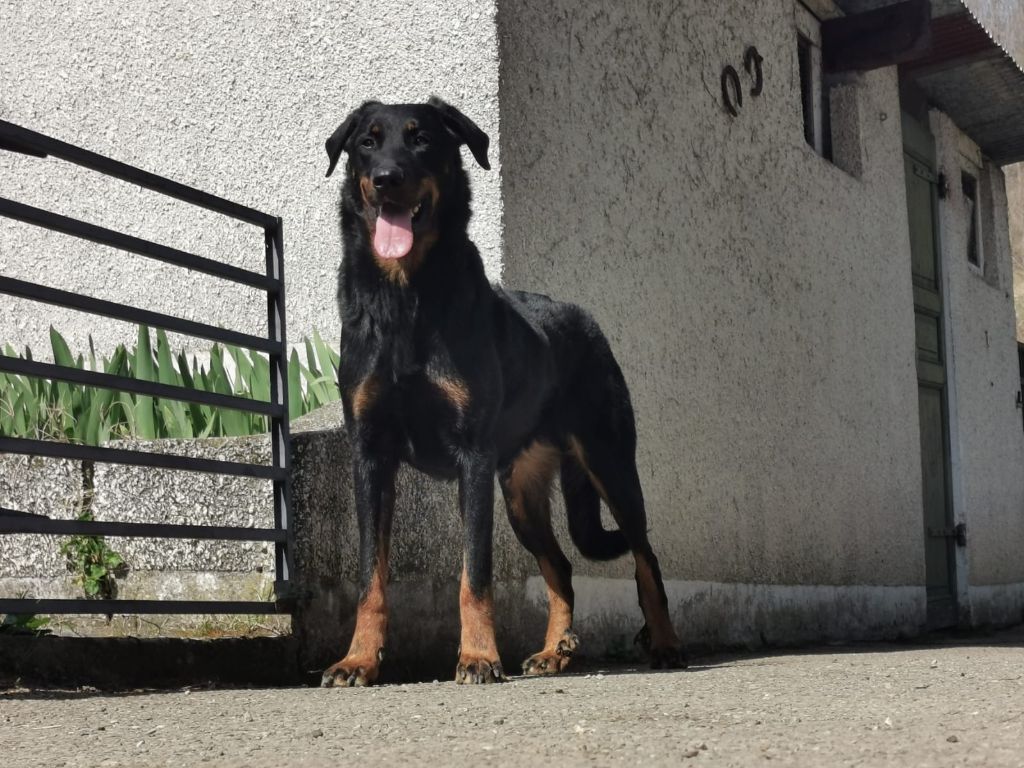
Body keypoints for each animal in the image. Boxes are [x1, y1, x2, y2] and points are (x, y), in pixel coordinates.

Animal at [323, 99, 684, 688]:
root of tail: (585, 320)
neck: (405, 297)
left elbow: (475, 575)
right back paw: (555, 651)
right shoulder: (371, 457)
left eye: (421, 140)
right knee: (561, 566)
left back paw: (667, 643)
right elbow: (370, 577)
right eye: (367, 143)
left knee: (644, 555)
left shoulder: (472, 458)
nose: (386, 179)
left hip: (609, 464)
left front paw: (477, 656)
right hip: (520, 492)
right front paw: (359, 659)